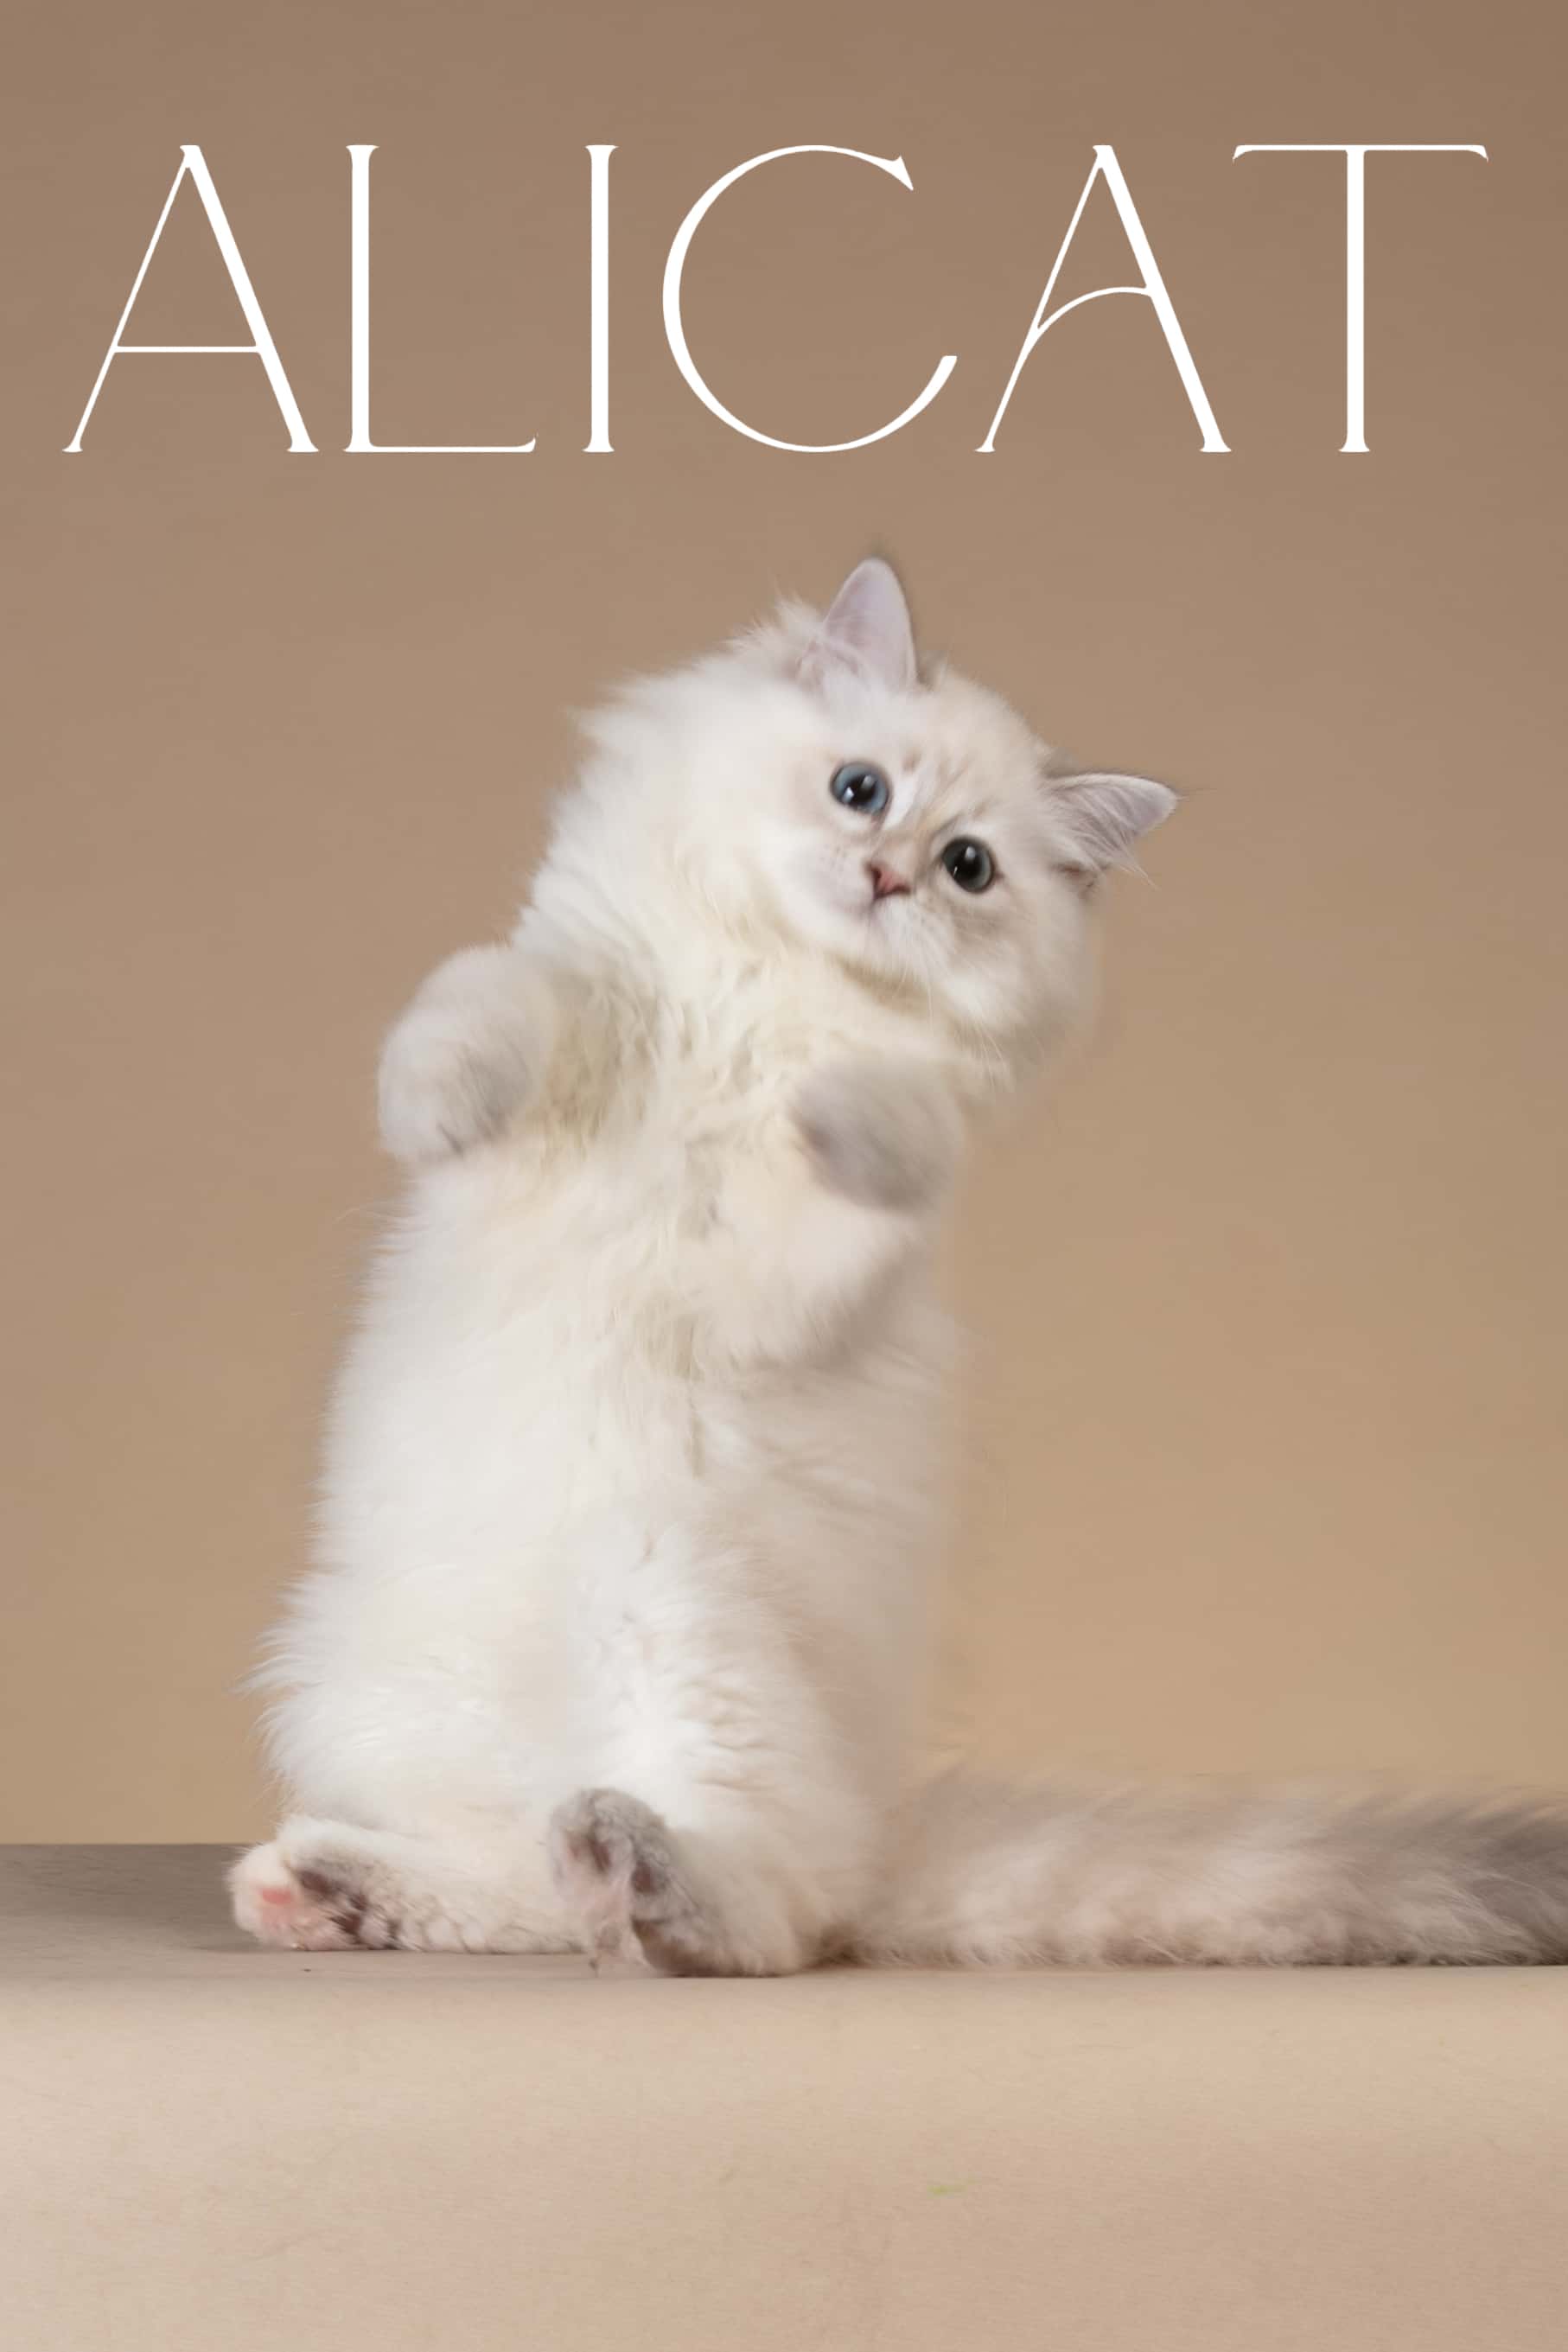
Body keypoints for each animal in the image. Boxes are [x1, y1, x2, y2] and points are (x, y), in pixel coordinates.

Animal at [230, 558, 1568, 1973]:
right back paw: (328, 1887)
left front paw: (834, 1112)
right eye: (858, 788)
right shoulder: (562, 998)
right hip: (360, 1695)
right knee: (533, 1893)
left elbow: (865, 1159)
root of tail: (882, 1842)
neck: (765, 991)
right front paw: (441, 1103)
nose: (883, 874)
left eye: (966, 866)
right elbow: (486, 1005)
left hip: (681, 1616)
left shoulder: (796, 1278)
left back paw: (634, 1872)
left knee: (757, 1914)